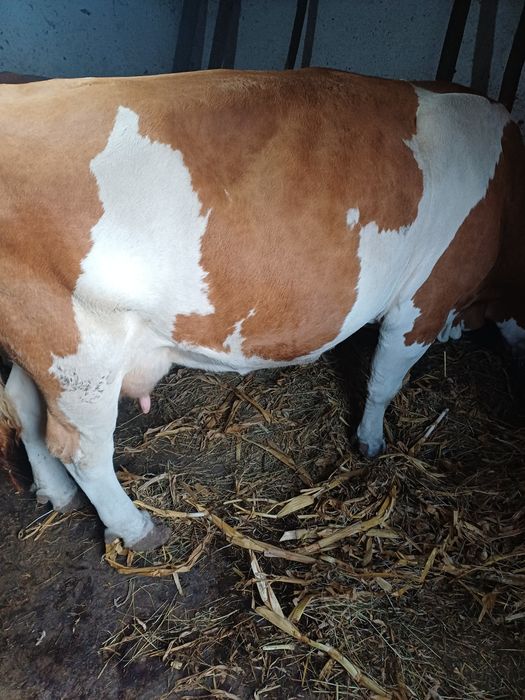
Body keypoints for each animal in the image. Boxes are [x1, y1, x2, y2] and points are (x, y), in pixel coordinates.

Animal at [0, 68, 523, 550]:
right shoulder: (423, 302)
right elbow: (383, 382)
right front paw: (371, 442)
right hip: (82, 351)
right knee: (82, 450)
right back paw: (137, 528)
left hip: (43, 340)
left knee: (23, 406)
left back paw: (56, 494)